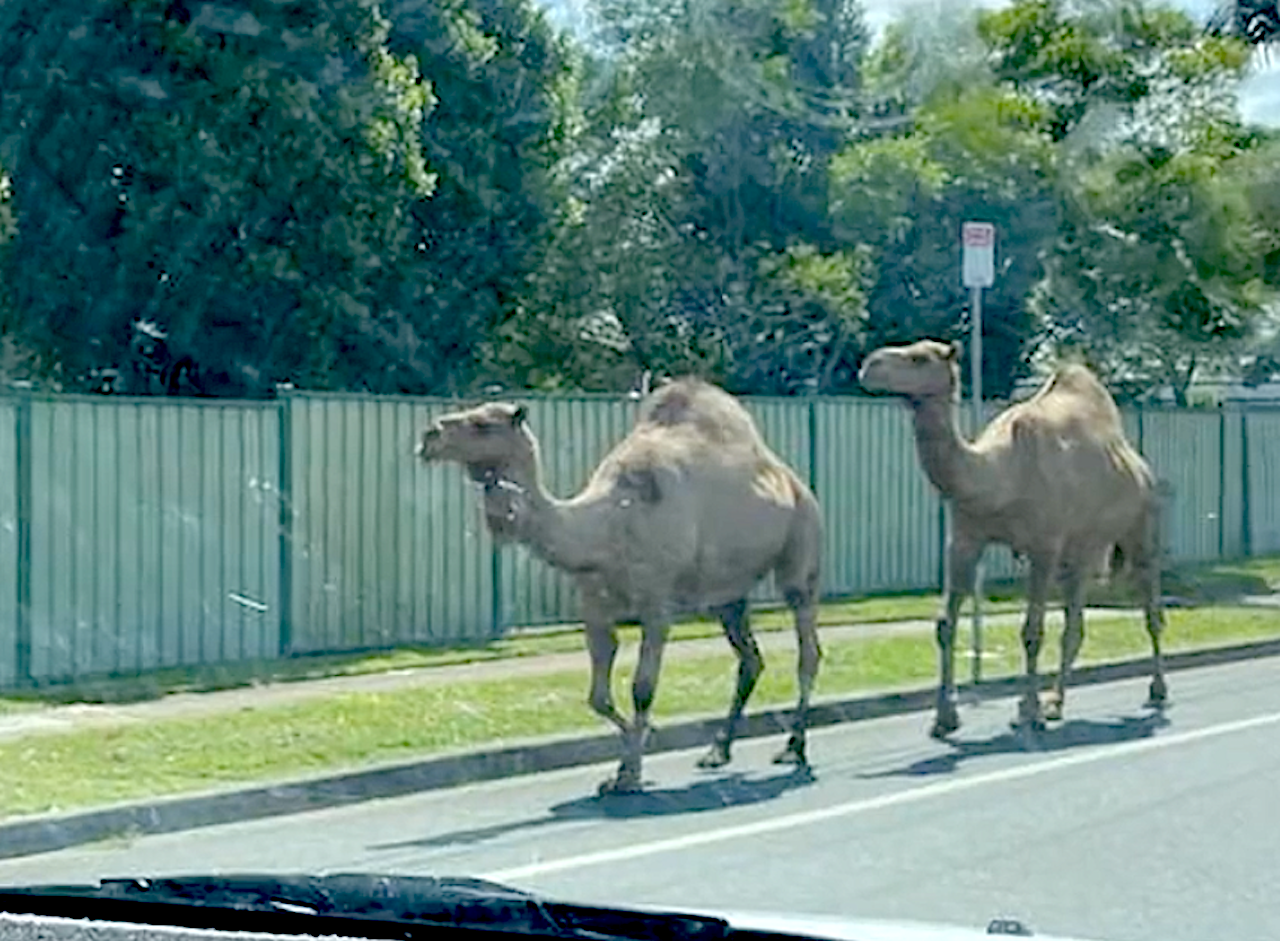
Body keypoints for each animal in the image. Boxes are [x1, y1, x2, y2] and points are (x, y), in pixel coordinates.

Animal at [414, 376, 824, 793]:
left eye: (483, 423)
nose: (429, 435)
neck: (607, 523)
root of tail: (791, 480)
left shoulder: (657, 605)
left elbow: (642, 688)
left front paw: (631, 771)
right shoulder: (595, 607)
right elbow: (597, 696)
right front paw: (627, 759)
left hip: (802, 543)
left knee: (806, 645)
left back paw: (794, 748)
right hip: (728, 594)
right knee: (750, 658)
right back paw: (718, 751)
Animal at [855, 340, 1167, 737]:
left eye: (919, 358)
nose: (869, 366)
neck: (998, 476)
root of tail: (1141, 467)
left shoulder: (1044, 546)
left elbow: (1032, 631)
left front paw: (1027, 712)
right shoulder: (964, 540)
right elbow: (944, 626)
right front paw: (944, 718)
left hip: (1142, 526)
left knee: (1151, 609)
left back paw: (1156, 691)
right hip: (1081, 550)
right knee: (1074, 623)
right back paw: (1056, 704)